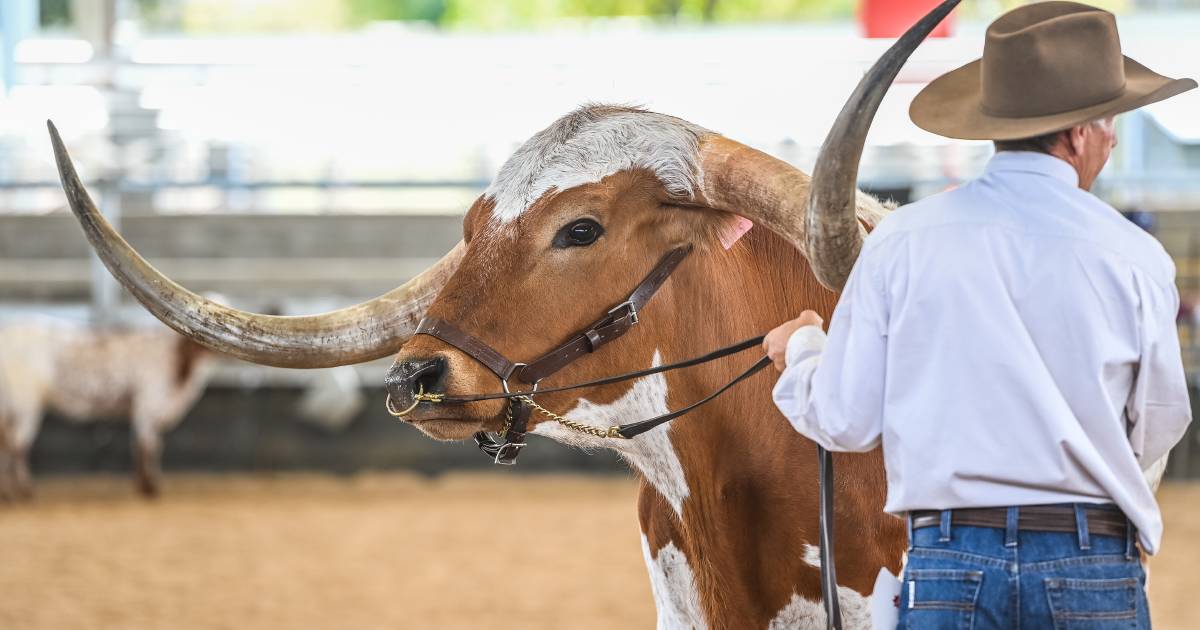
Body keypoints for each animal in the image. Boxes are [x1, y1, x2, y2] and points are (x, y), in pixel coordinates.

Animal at [0, 321, 213, 499]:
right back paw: (24, 490)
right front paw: (149, 488)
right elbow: (148, 447)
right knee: (17, 446)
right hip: (25, 405)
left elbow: (146, 446)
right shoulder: (147, 406)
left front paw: (143, 485)